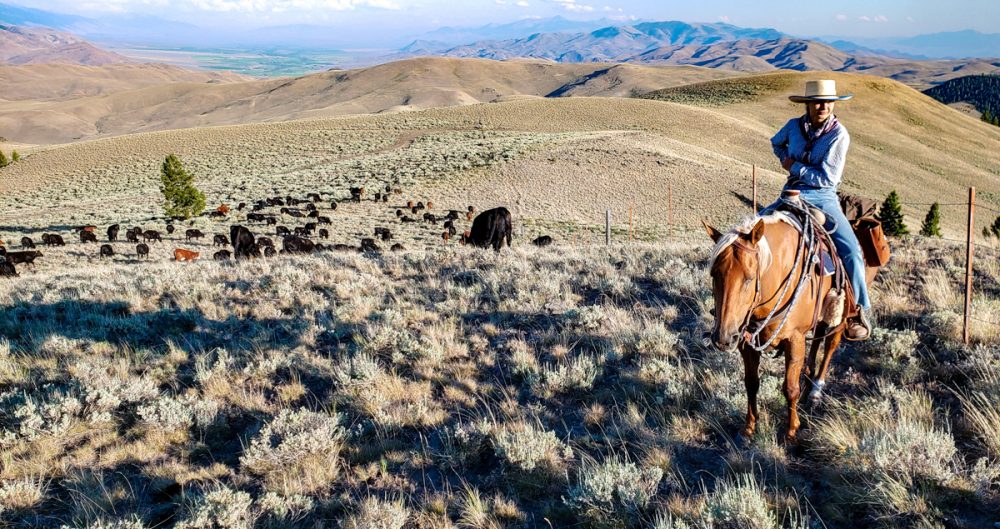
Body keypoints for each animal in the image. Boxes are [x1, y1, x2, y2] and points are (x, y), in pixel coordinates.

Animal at [700, 209, 872, 442]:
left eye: (749, 278)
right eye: (714, 274)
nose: (723, 339)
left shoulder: (794, 339)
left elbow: (790, 388)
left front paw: (791, 430)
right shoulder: (746, 342)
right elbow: (751, 383)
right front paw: (749, 427)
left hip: (841, 315)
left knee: (830, 346)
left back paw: (816, 388)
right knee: (817, 339)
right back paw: (809, 375)